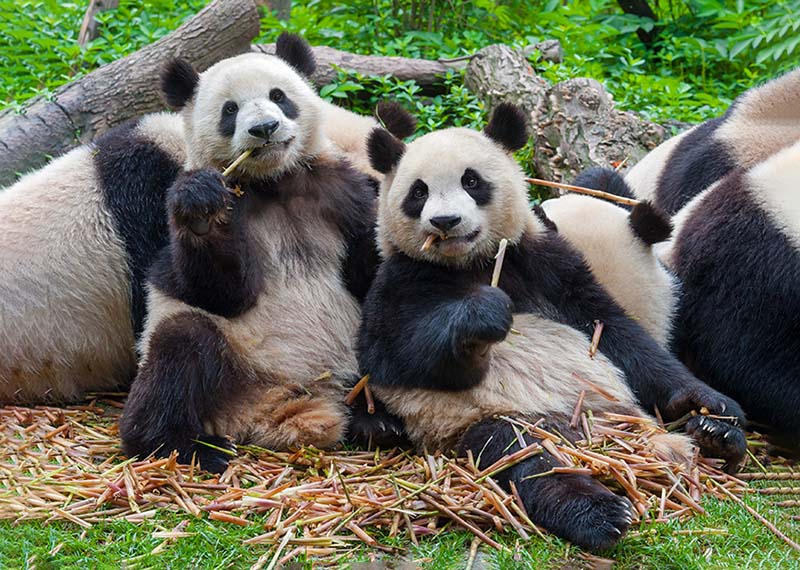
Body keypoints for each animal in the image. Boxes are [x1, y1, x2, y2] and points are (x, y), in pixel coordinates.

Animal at [120, 34, 392, 470]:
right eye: (230, 110)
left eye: (278, 96)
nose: (264, 128)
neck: (273, 182)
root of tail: (274, 406)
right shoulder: (233, 211)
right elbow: (219, 292)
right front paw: (200, 208)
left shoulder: (340, 191)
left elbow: (368, 270)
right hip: (228, 360)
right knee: (181, 349)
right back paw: (185, 445)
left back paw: (375, 420)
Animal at [360, 104, 752, 548]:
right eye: (419, 192)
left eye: (471, 181)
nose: (445, 221)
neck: (470, 263)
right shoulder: (401, 278)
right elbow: (393, 355)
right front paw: (485, 316)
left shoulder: (548, 263)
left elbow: (619, 333)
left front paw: (711, 402)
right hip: (491, 420)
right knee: (531, 458)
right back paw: (599, 513)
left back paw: (715, 435)